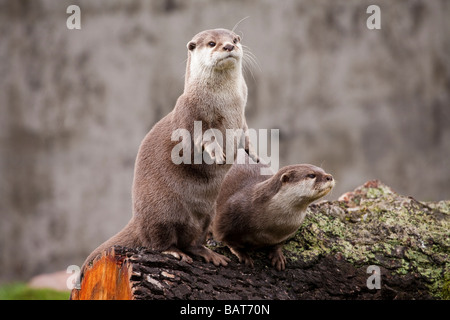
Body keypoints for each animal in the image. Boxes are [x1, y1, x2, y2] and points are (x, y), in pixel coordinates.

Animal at [81, 28, 256, 276]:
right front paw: (217, 152)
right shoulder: (190, 112)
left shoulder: (242, 117)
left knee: (193, 241)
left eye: (234, 39)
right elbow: (201, 136)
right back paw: (173, 252)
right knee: (157, 241)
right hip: (162, 212)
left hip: (207, 215)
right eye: (212, 43)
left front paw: (254, 152)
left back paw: (209, 254)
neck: (226, 102)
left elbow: (247, 133)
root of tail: (137, 218)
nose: (229, 46)